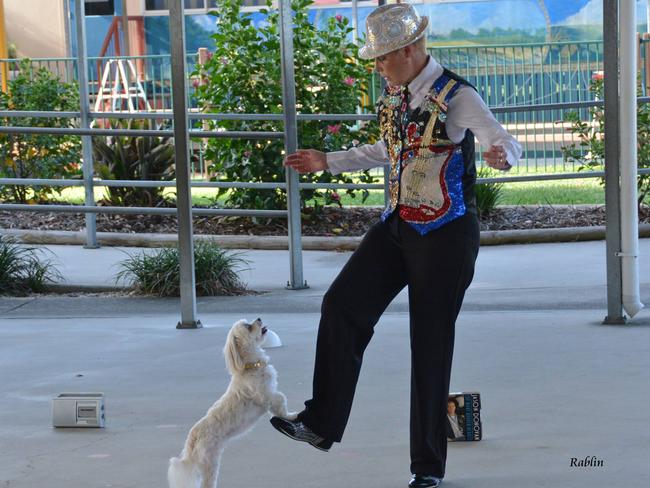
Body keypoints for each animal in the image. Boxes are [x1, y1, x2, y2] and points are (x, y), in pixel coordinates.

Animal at [168, 318, 298, 486]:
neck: (251, 366)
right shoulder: (267, 396)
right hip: (210, 463)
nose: (259, 318)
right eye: (248, 327)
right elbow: (281, 400)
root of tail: (193, 437)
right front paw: (291, 416)